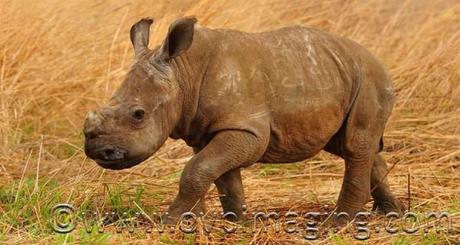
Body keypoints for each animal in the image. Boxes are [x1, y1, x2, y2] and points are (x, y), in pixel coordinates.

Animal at [83, 16, 406, 222]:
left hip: (369, 79)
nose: (97, 151)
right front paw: (235, 219)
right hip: (340, 75)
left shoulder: (246, 129)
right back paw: (393, 213)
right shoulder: (211, 129)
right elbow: (220, 175)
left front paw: (171, 221)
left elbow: (197, 170)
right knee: (353, 146)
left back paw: (339, 222)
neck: (183, 72)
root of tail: (377, 60)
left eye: (138, 115)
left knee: (355, 144)